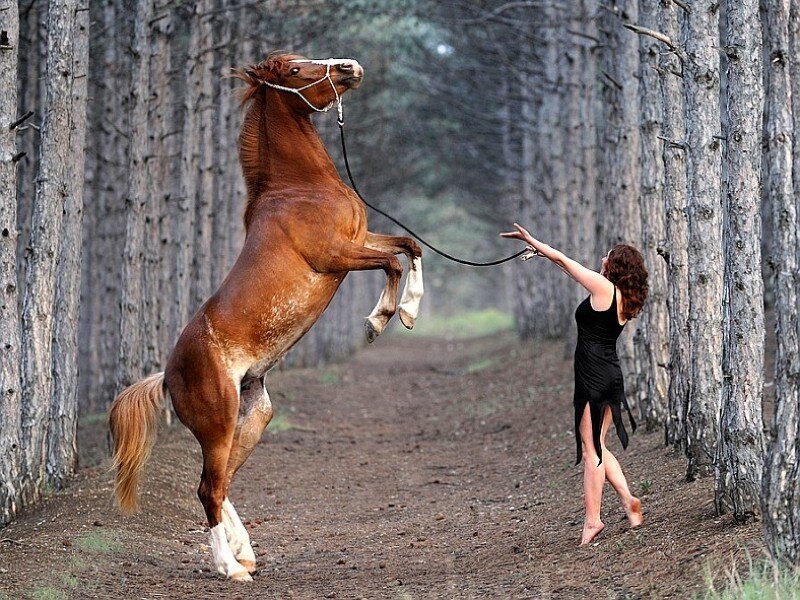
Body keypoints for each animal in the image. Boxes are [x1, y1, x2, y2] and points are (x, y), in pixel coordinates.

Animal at [109, 53, 423, 581]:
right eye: (295, 70)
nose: (349, 67)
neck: (299, 188)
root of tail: (167, 376)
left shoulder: (360, 238)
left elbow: (409, 245)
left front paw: (408, 312)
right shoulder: (336, 254)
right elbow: (393, 261)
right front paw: (379, 319)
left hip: (254, 416)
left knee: (222, 484)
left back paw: (245, 553)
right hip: (218, 422)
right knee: (207, 488)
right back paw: (229, 567)